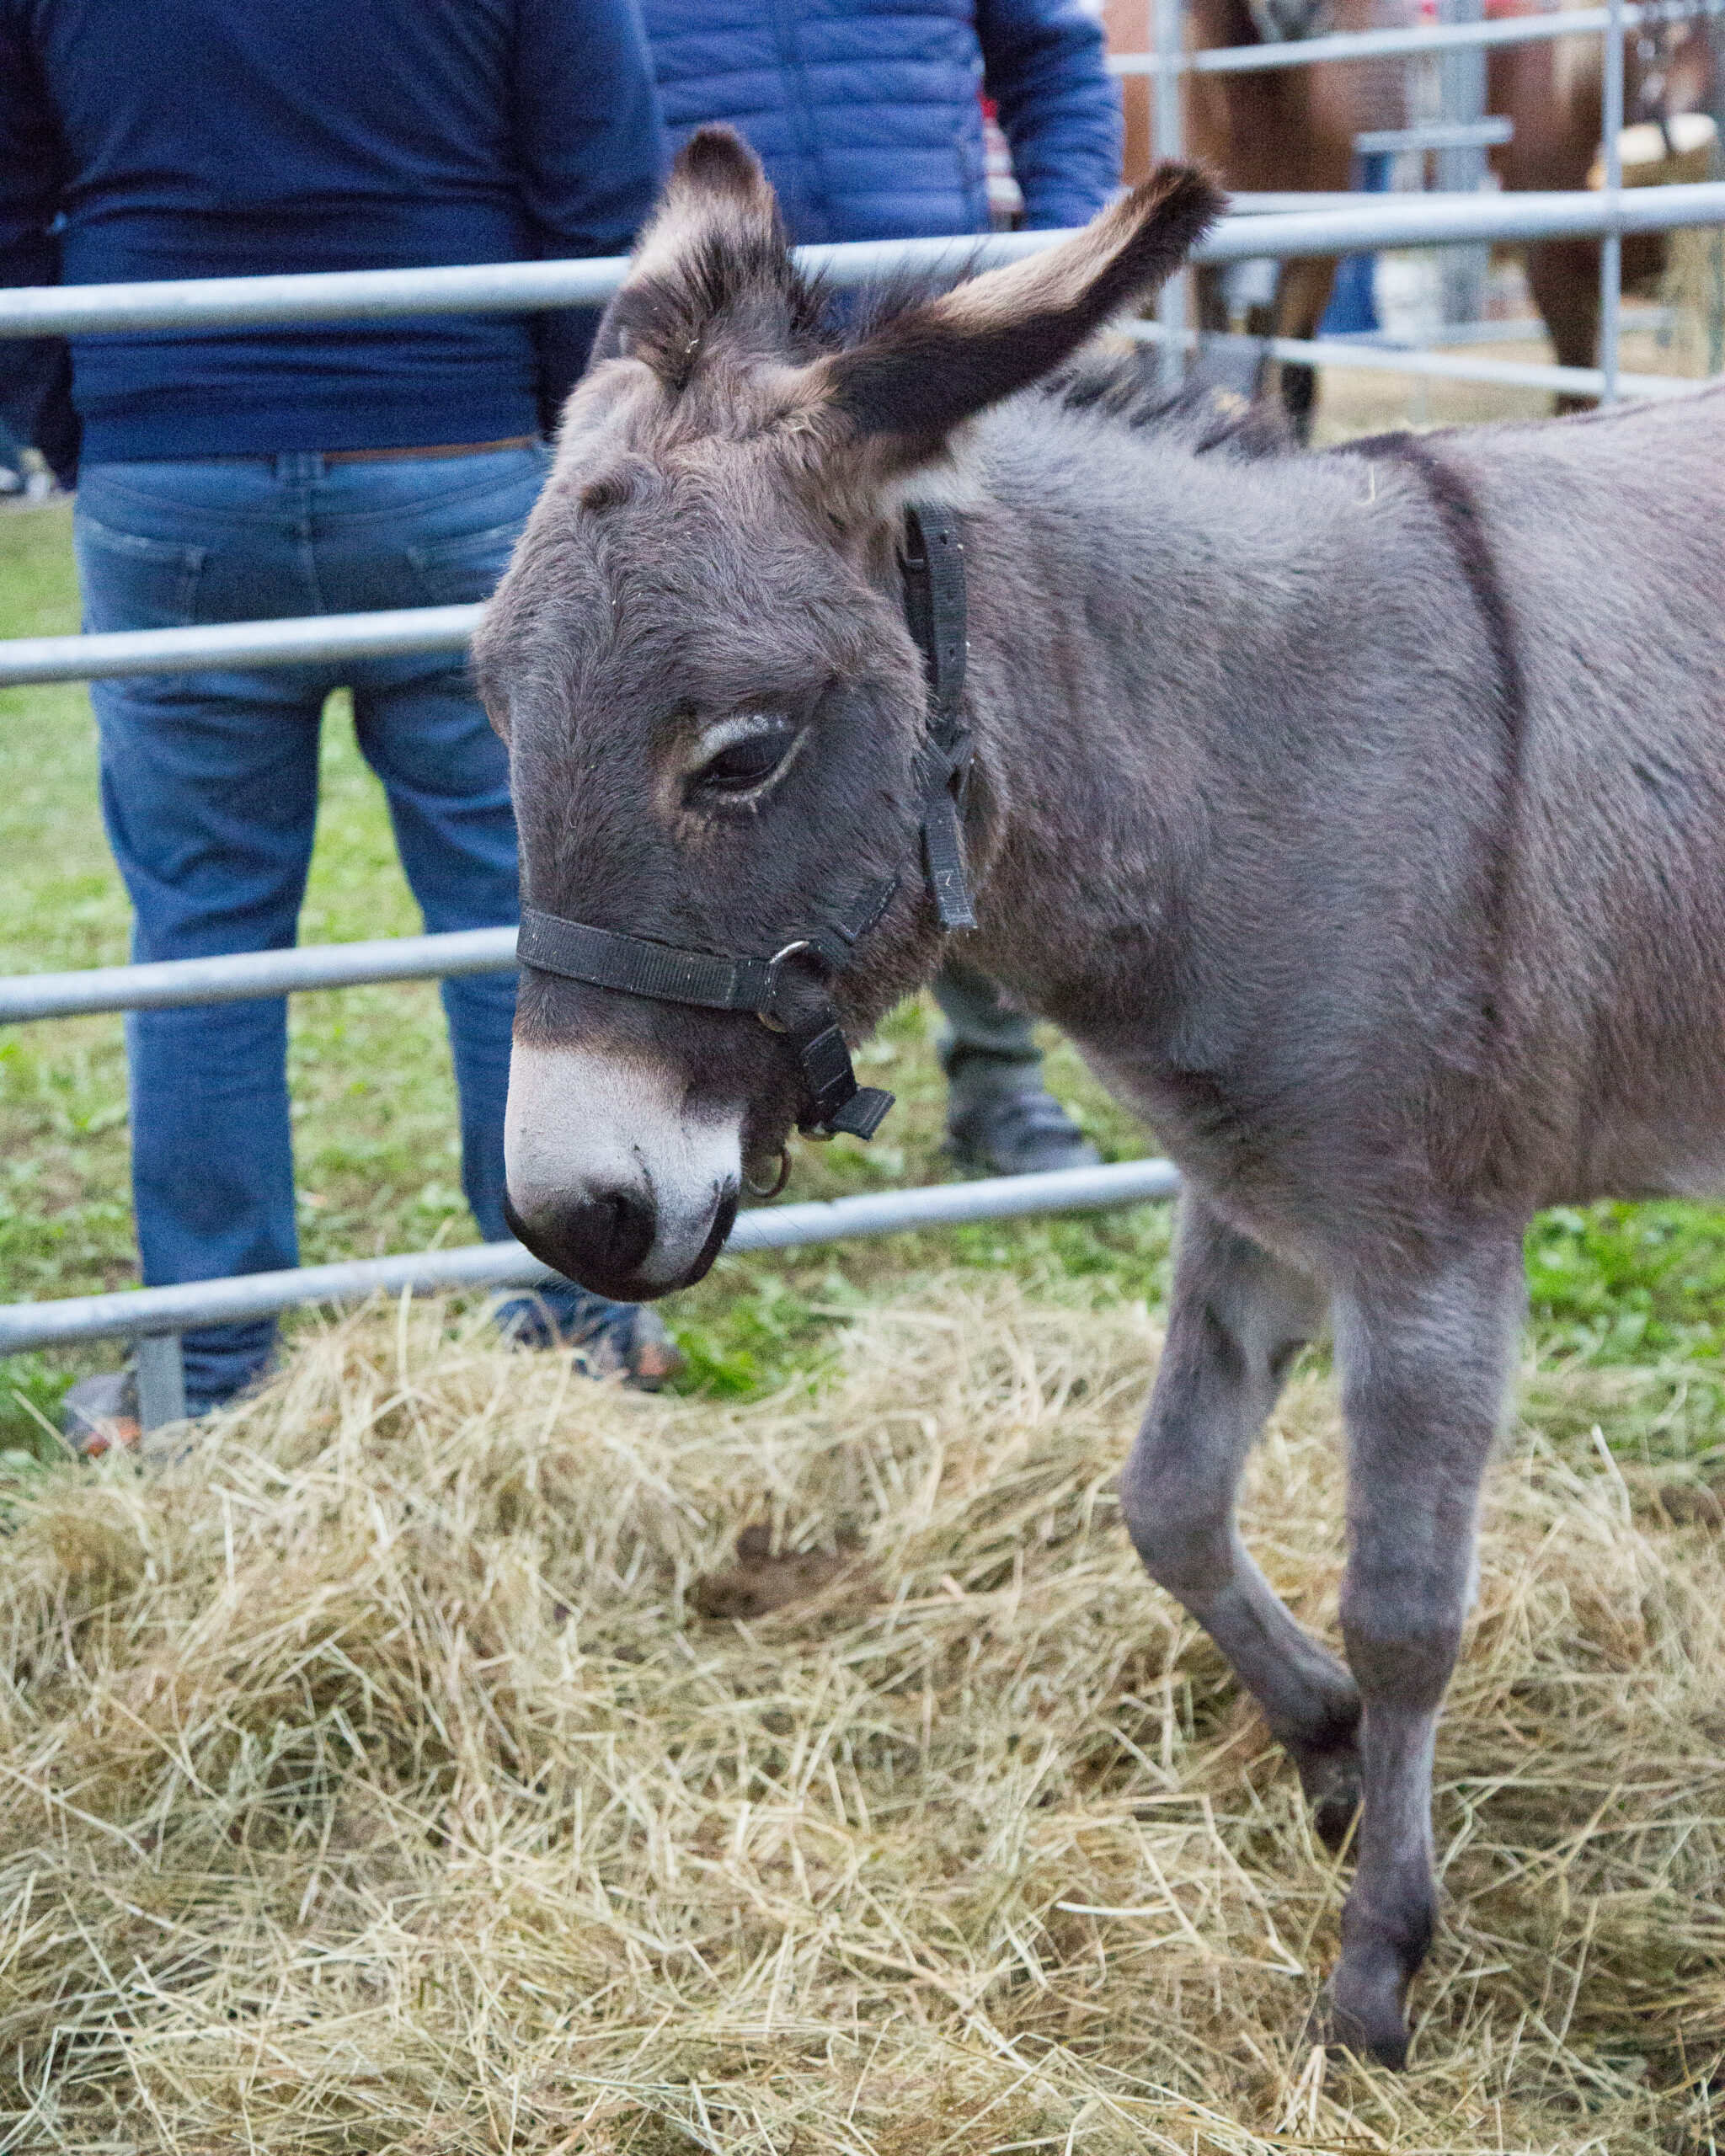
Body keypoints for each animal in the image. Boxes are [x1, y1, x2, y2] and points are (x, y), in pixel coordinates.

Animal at [474, 130, 1725, 2067]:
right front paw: (1322, 1750)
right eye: (487, 703)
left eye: (739, 752)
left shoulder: (1431, 1251)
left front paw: (1378, 1964)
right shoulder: (1249, 1200)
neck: (1253, 764)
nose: (571, 1219)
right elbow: (1167, 1502)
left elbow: (1406, 1613)